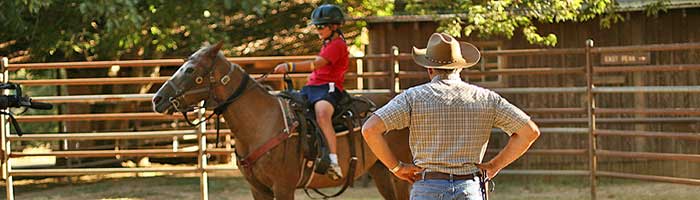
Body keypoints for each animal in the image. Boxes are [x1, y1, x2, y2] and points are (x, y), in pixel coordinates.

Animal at [151, 43, 412, 199]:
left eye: (191, 70)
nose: (157, 99)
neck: (261, 124)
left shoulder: (283, 187)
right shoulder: (258, 189)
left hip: (401, 175)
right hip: (381, 171)